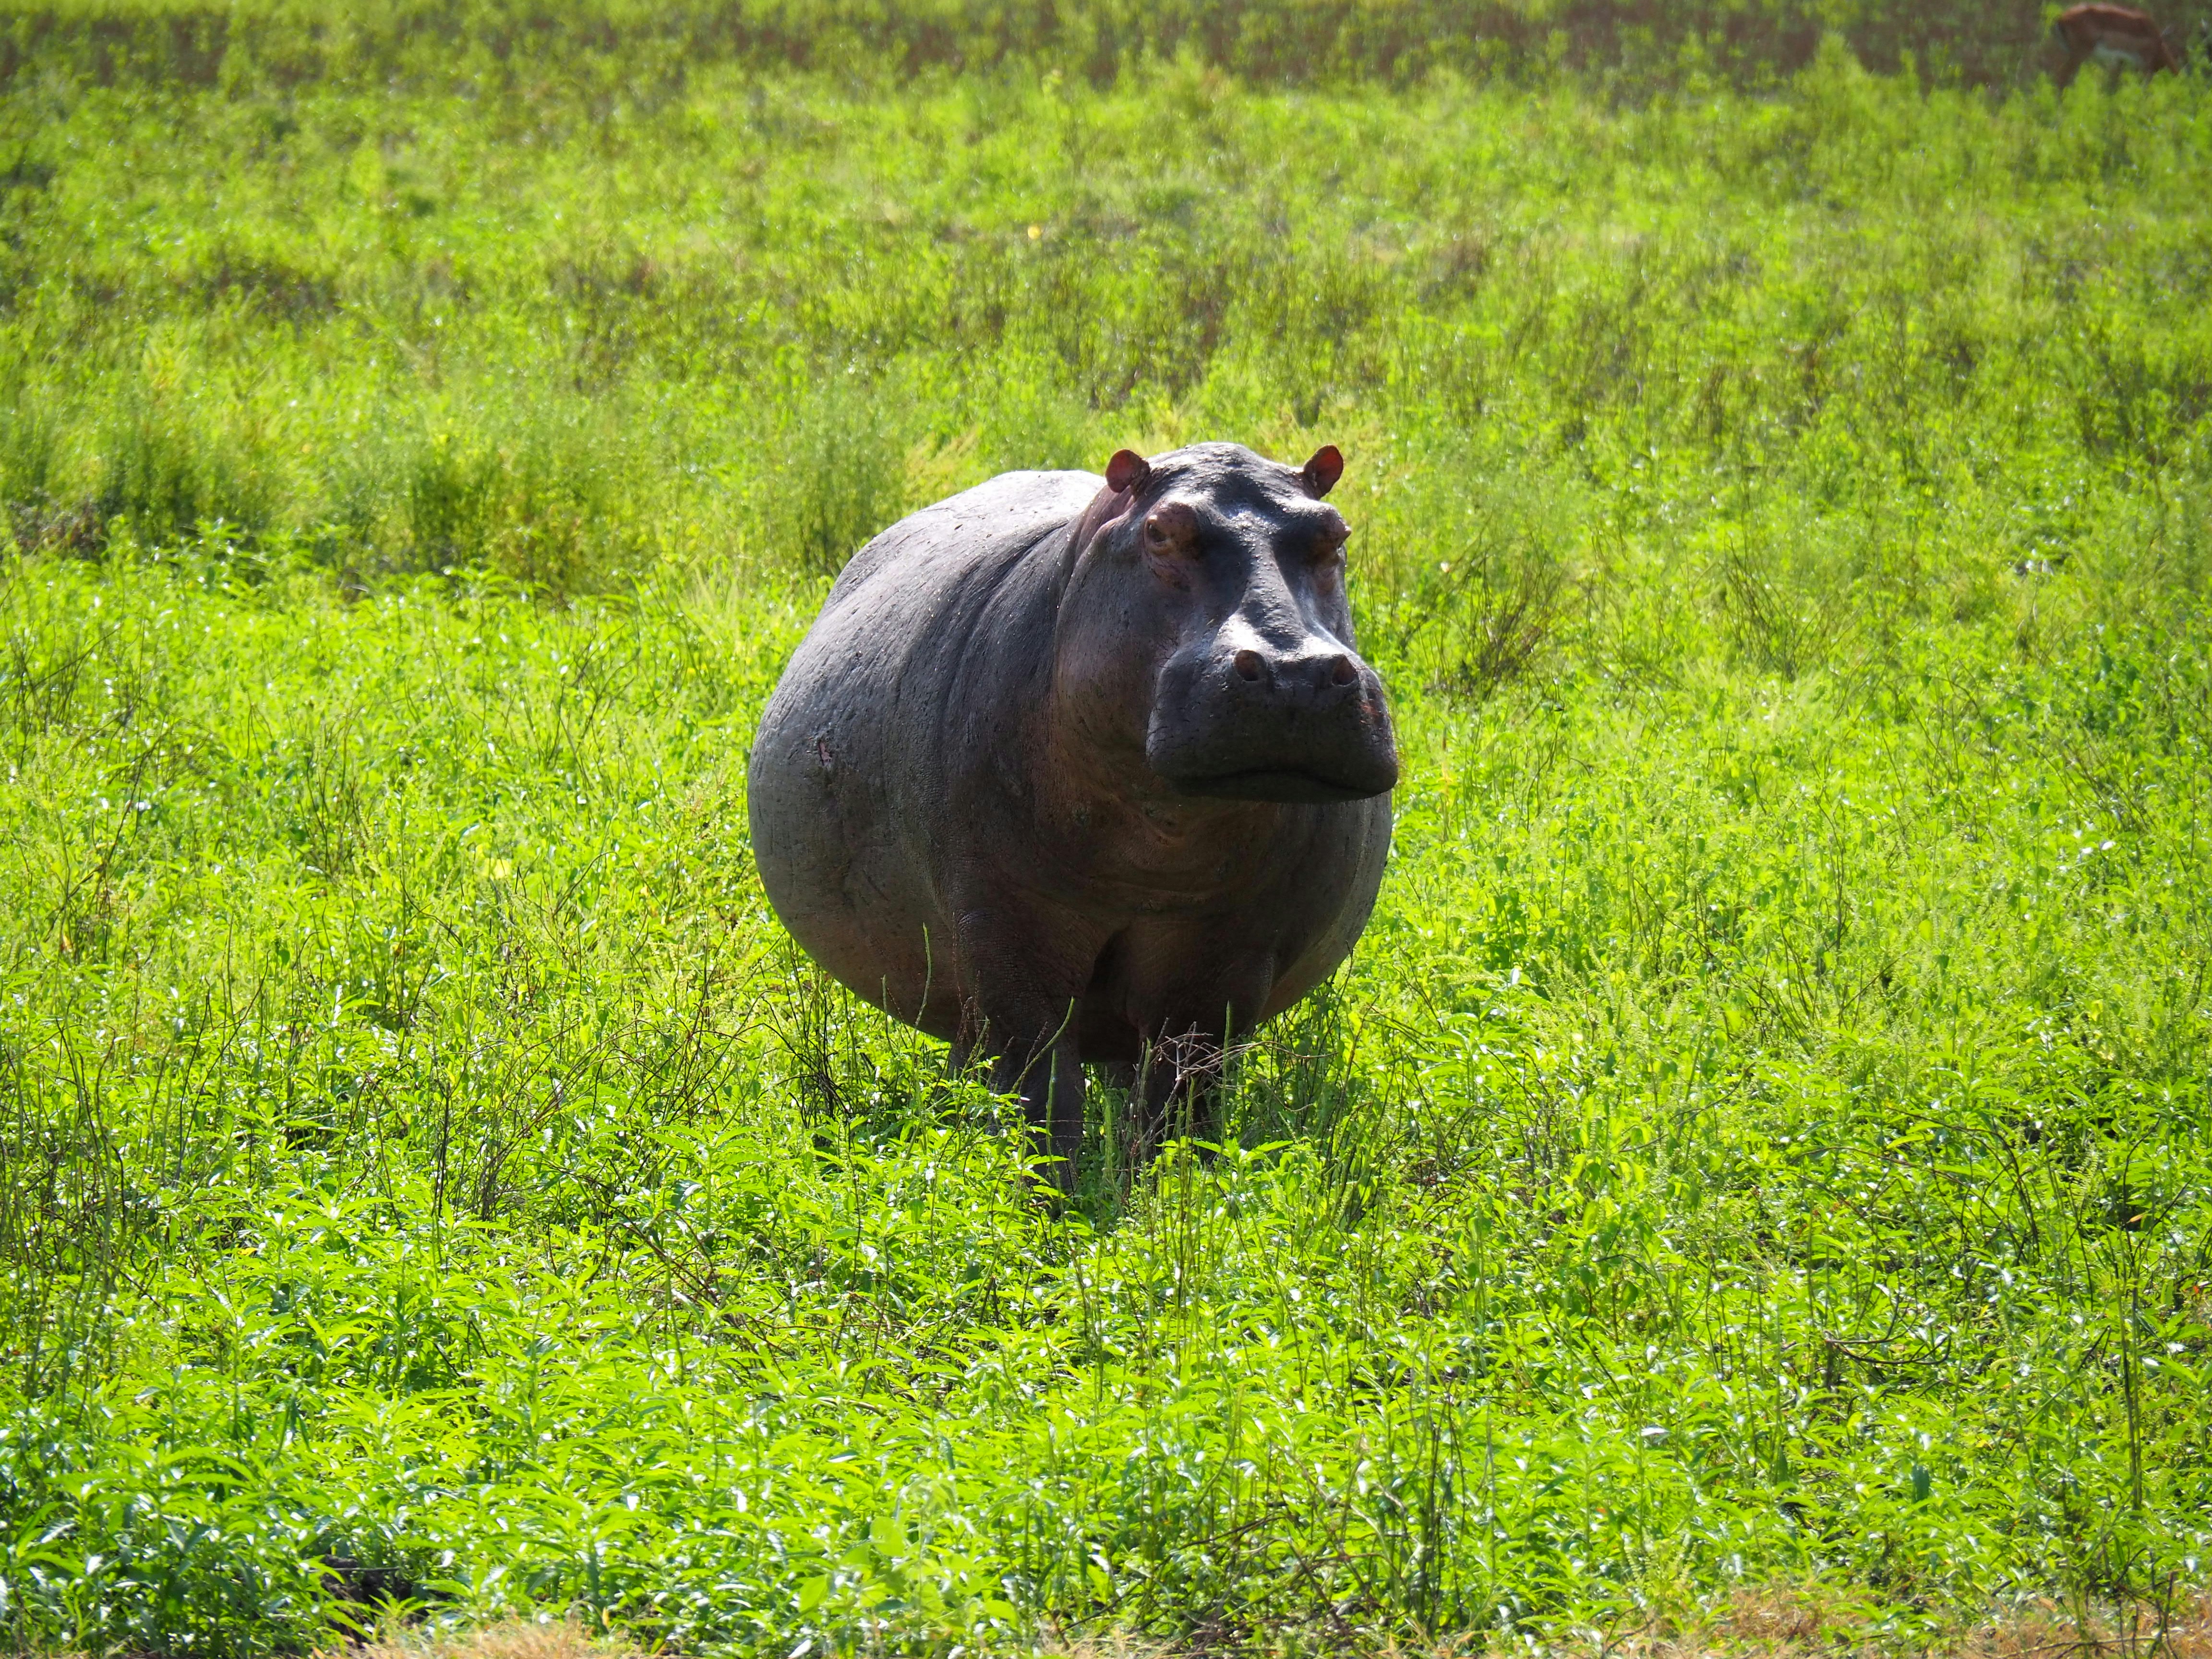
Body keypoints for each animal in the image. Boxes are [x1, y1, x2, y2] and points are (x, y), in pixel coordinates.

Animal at [747, 441, 1397, 1189]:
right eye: (1160, 532)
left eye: (1335, 534)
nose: (1295, 674)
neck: (1161, 837)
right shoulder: (1004, 932)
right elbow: (1043, 1094)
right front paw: (1045, 1201)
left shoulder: (1229, 956)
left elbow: (1182, 1103)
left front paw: (1167, 1198)